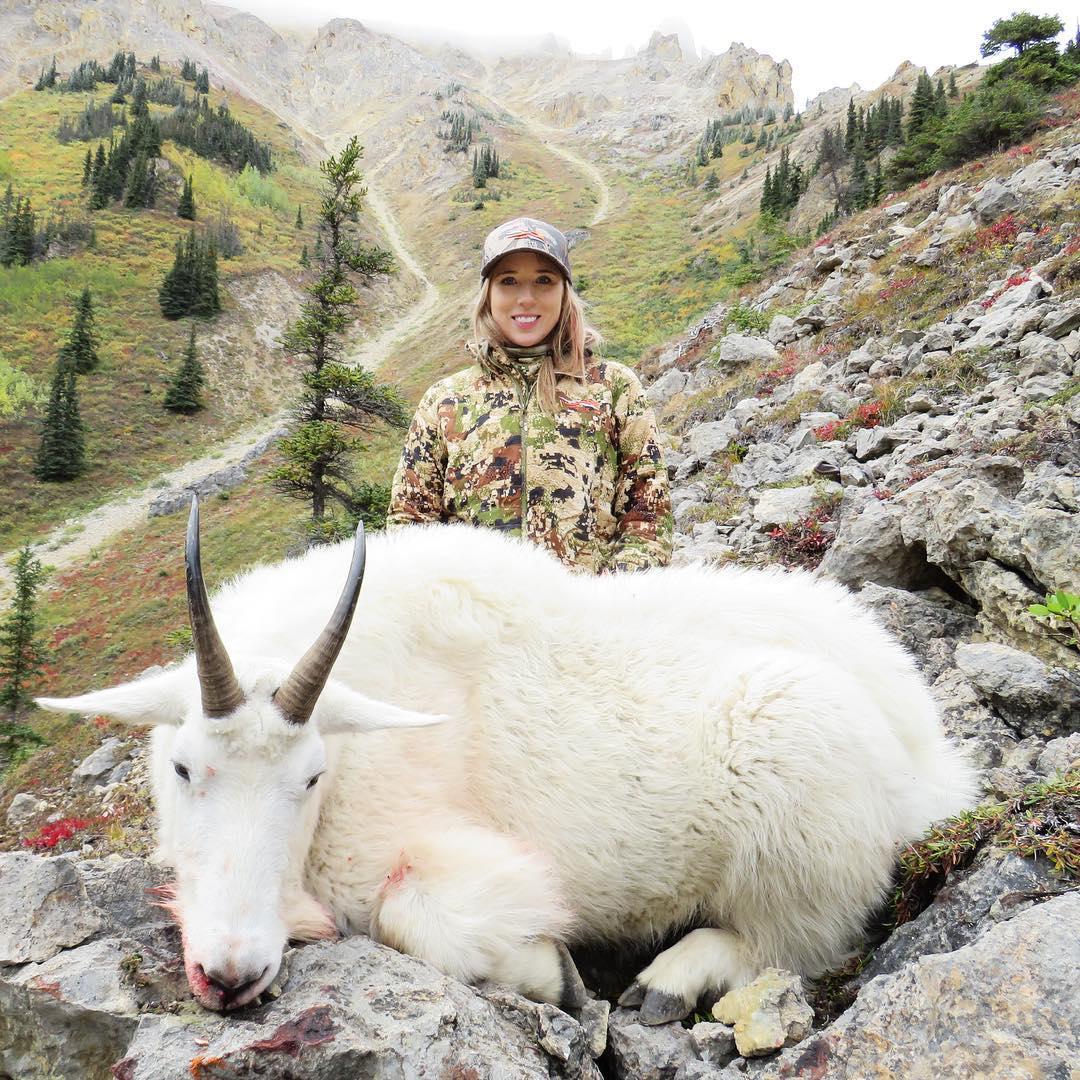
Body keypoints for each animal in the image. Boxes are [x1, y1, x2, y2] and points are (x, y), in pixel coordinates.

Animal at [42, 496, 976, 1019]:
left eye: (309, 777)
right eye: (182, 768)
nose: (229, 975)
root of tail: (929, 759)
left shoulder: (406, 852)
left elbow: (415, 914)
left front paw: (557, 974)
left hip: (802, 805)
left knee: (805, 940)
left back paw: (669, 980)